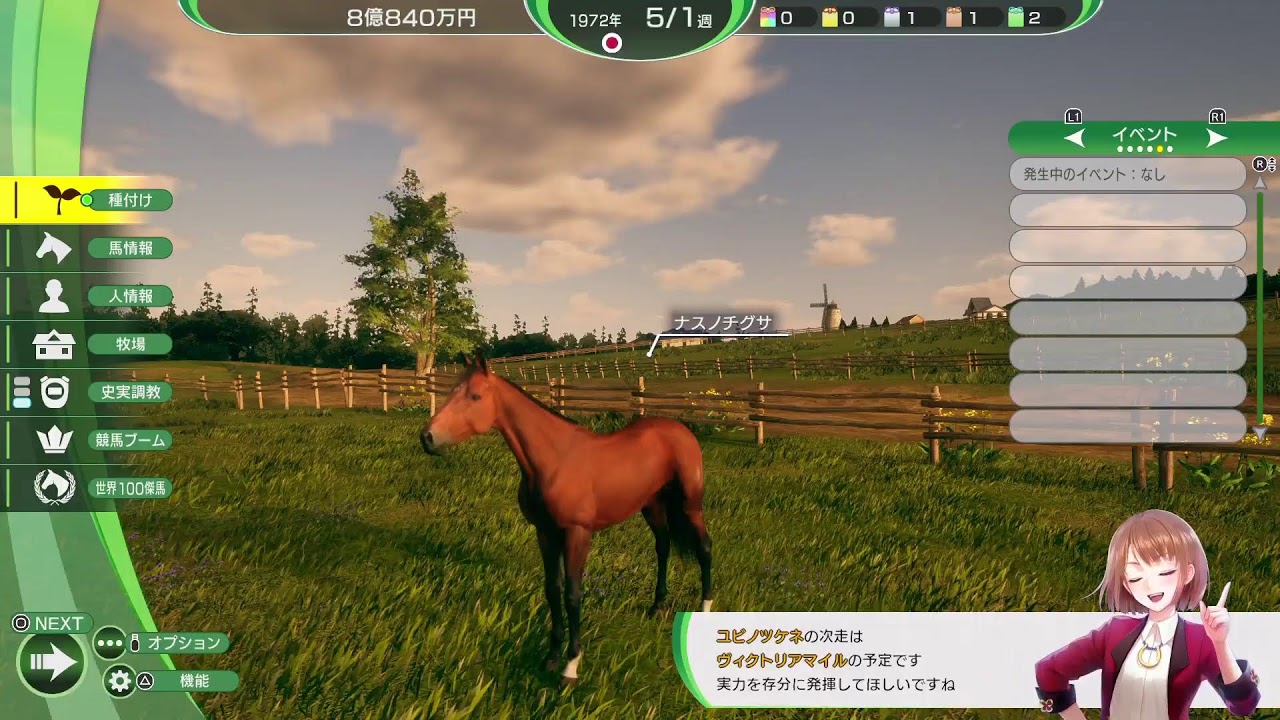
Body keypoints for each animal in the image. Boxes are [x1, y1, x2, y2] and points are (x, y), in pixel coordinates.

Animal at [419, 352, 713, 685]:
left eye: (475, 396)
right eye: (452, 391)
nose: (427, 437)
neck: (555, 460)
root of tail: (679, 429)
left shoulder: (577, 533)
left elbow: (573, 594)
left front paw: (571, 666)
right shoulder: (545, 533)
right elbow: (552, 590)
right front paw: (550, 657)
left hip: (690, 504)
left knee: (704, 547)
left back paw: (704, 609)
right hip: (652, 506)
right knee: (663, 548)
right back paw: (657, 607)